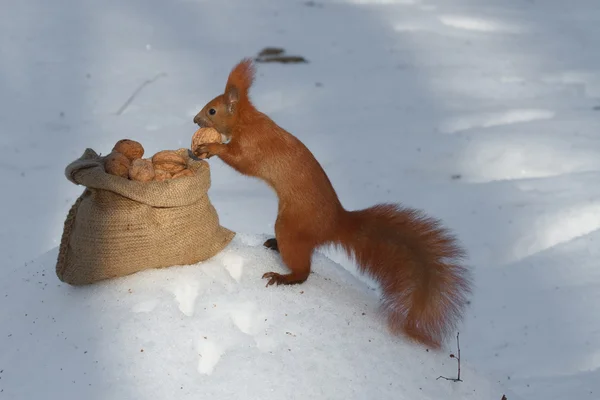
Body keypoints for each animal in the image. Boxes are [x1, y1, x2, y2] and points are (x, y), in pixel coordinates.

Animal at [192, 57, 474, 348]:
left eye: (212, 110)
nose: (195, 119)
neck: (247, 121)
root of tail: (336, 223)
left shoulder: (253, 147)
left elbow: (240, 161)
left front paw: (211, 149)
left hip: (291, 225)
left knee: (304, 271)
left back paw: (284, 276)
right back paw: (273, 245)